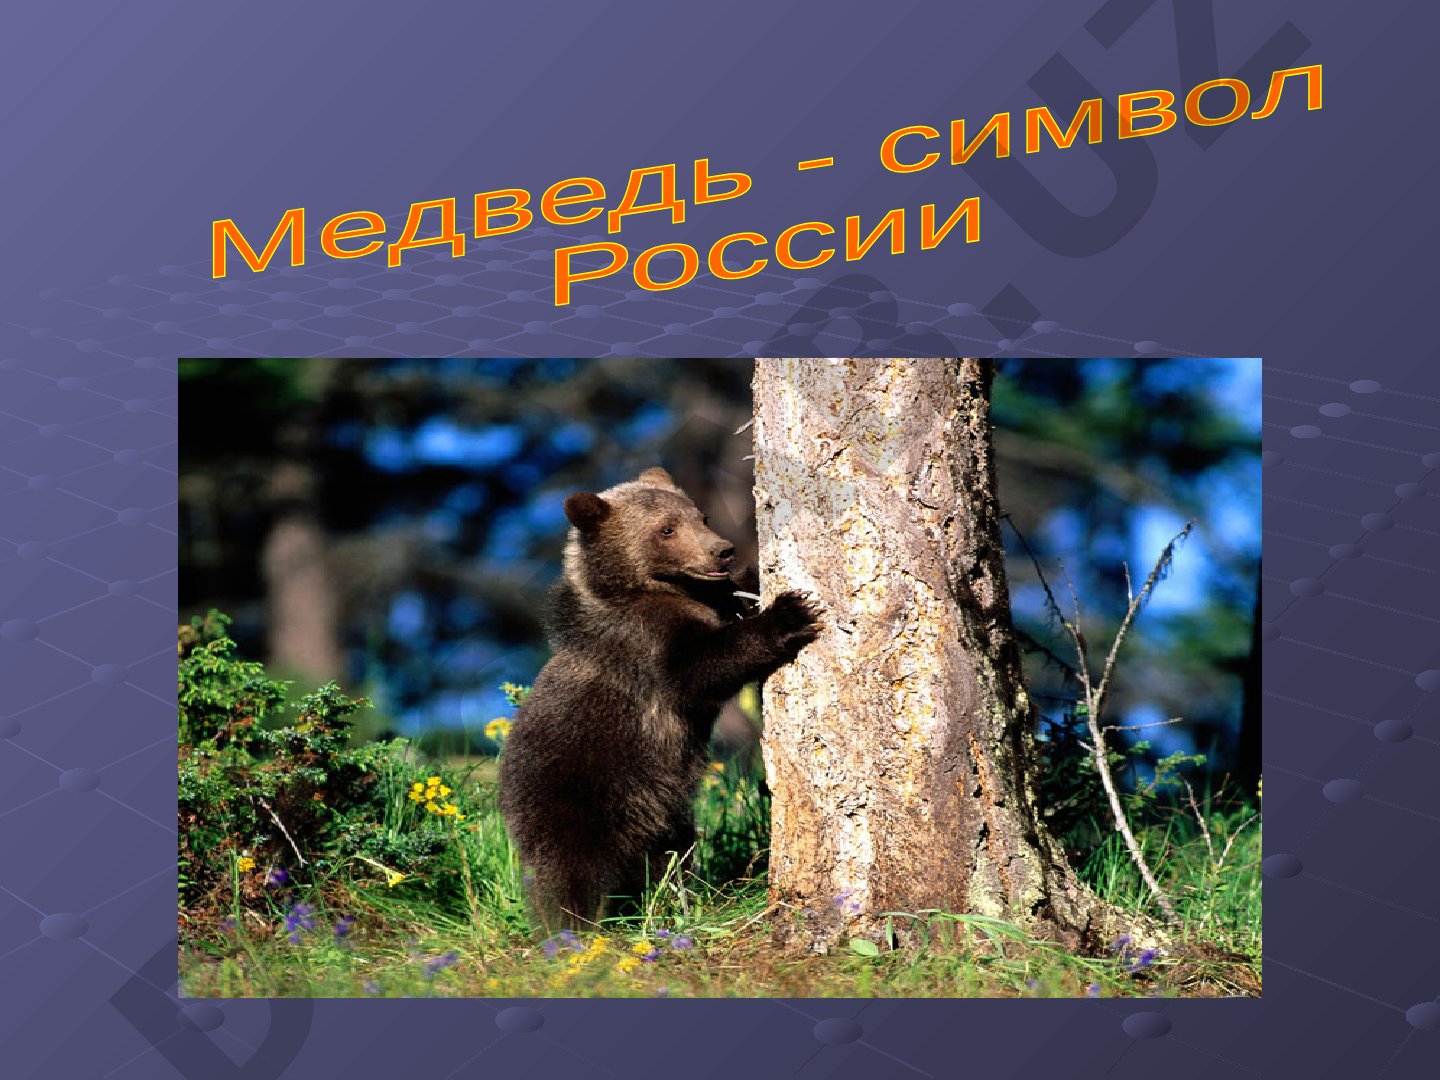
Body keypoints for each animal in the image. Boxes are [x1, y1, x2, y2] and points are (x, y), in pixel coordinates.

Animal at [498, 466, 821, 930]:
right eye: (666, 529)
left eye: (701, 516)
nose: (722, 551)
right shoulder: (644, 645)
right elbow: (699, 669)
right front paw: (791, 611)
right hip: (576, 793)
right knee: (569, 874)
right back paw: (575, 929)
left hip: (659, 806)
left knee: (671, 853)